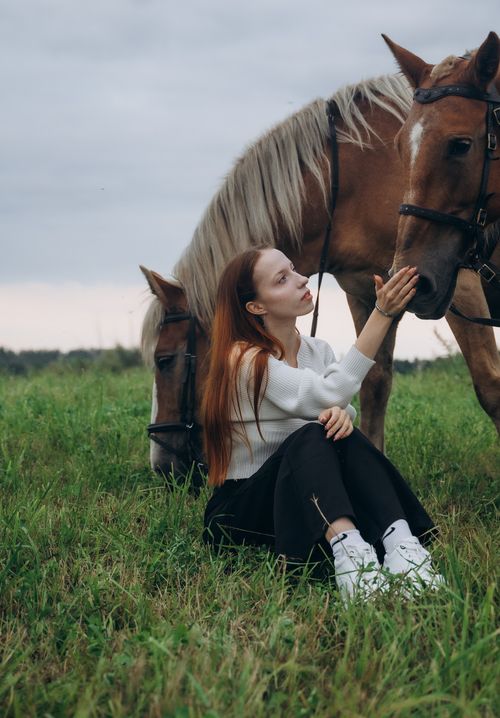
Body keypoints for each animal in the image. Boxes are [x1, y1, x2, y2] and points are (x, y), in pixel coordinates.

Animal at [141, 47, 500, 480]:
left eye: (164, 361)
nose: (162, 466)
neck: (355, 181)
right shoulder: (367, 291)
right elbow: (373, 382)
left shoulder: (456, 283)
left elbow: (489, 384)